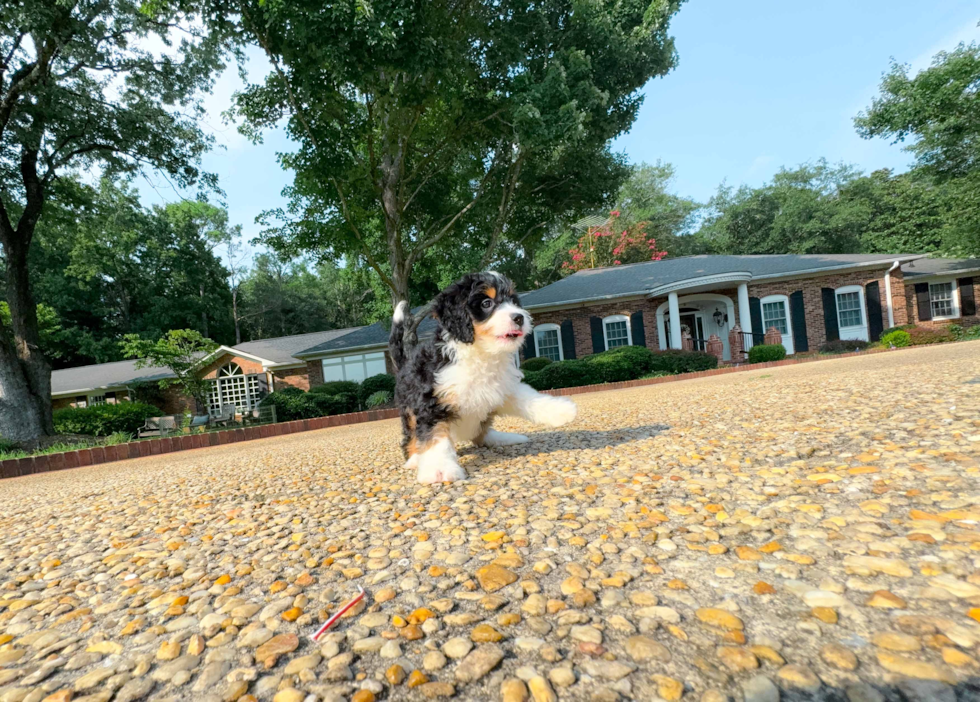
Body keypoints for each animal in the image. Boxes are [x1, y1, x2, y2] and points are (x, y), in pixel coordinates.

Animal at [388, 274, 576, 484]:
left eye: (513, 301)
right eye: (487, 303)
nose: (519, 317)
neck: (481, 352)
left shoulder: (502, 386)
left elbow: (529, 397)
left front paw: (560, 410)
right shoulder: (432, 400)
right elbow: (434, 435)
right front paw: (439, 469)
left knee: (481, 434)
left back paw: (503, 438)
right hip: (408, 411)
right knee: (410, 437)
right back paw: (415, 458)